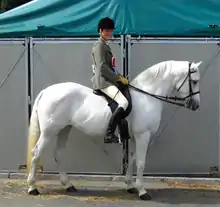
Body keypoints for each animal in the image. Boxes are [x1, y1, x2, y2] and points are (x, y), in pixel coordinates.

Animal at [26, 60, 202, 201]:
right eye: (194, 81)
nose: (196, 105)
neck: (147, 97)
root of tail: (46, 91)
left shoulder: (135, 137)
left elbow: (132, 159)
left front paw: (130, 186)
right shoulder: (143, 136)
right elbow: (141, 162)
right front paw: (142, 191)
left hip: (64, 129)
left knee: (58, 154)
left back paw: (68, 185)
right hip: (49, 132)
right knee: (36, 153)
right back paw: (32, 187)